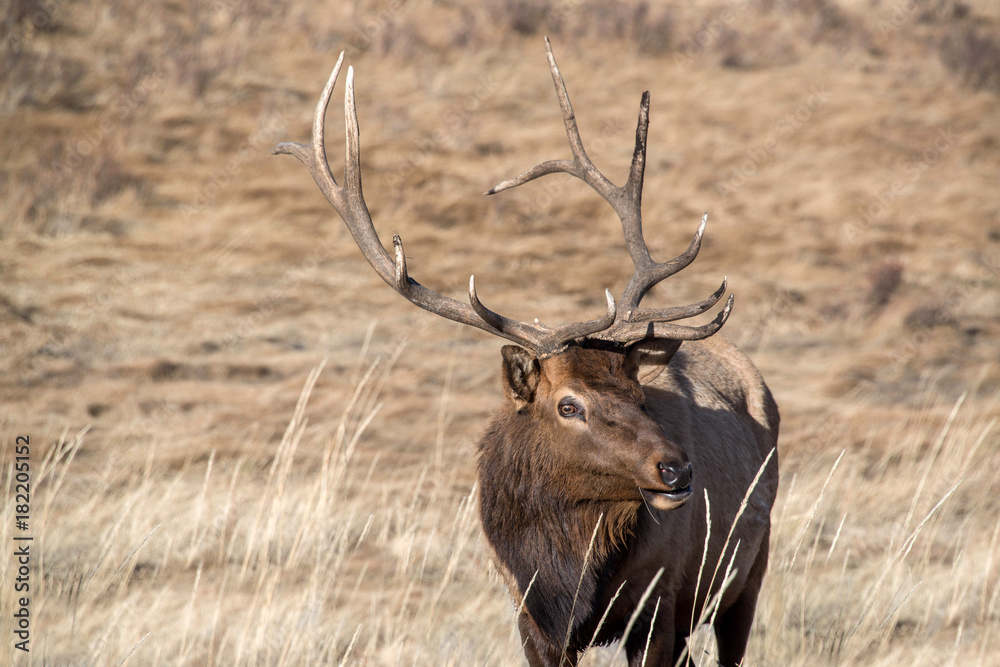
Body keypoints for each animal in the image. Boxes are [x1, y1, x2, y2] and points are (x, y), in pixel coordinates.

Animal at [273, 39, 779, 667]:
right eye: (568, 405)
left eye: (640, 396)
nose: (676, 469)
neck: (567, 579)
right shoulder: (527, 615)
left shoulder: (659, 606)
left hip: (748, 574)